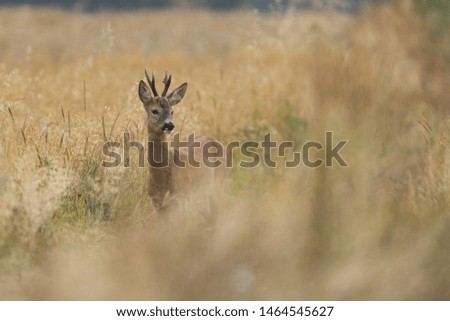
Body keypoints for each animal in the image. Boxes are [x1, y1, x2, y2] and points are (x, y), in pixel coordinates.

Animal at [137, 69, 227, 212]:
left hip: (219, 185)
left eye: (172, 111)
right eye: (154, 111)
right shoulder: (158, 204)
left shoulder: (182, 200)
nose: (169, 125)